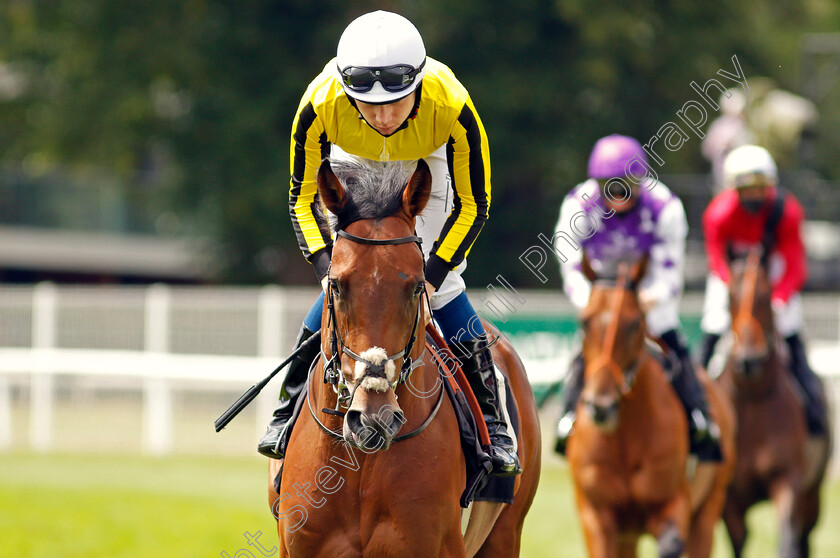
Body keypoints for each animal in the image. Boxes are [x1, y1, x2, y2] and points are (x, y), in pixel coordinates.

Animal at [564, 260, 736, 558]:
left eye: (634, 323)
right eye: (584, 321)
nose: (601, 406)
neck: (623, 435)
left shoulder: (674, 502)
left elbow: (671, 543)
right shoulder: (596, 516)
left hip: (708, 509)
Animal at [712, 250, 832, 558]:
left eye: (766, 297)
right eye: (729, 298)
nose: (748, 361)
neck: (753, 399)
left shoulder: (788, 481)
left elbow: (787, 540)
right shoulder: (730, 498)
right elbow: (738, 543)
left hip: (813, 493)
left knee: (804, 537)